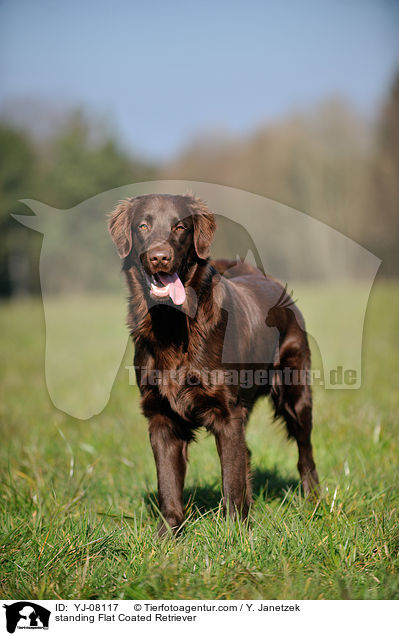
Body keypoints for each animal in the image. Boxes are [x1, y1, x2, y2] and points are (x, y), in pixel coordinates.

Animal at [108, 196, 318, 536]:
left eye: (180, 227)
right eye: (143, 225)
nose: (159, 257)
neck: (173, 325)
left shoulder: (227, 413)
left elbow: (231, 480)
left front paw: (236, 535)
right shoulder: (161, 417)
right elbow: (168, 484)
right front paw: (167, 536)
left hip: (295, 392)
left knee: (304, 452)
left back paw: (314, 500)